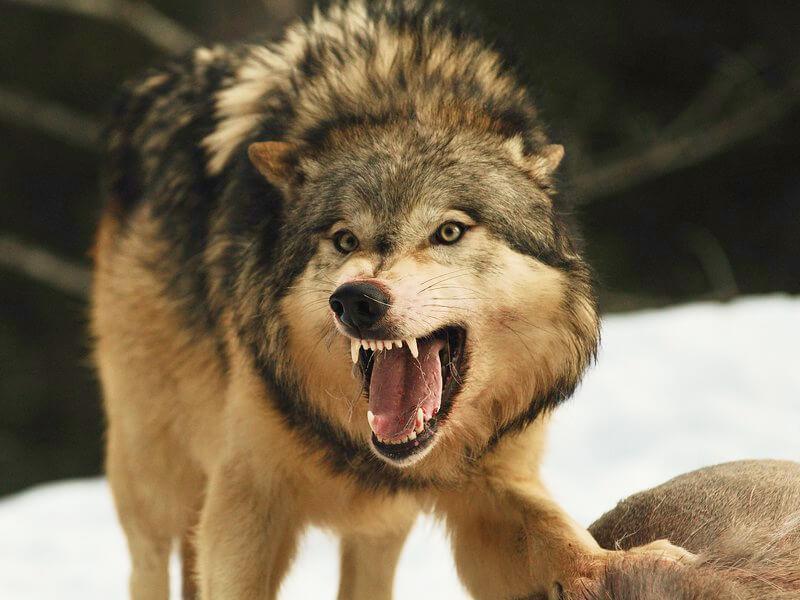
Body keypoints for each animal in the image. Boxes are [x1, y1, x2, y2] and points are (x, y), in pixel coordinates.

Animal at [92, 1, 688, 599]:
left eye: (448, 232)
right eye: (344, 240)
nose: (356, 299)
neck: (402, 97)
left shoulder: (494, 481)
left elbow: (557, 530)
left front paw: (626, 566)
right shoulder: (247, 498)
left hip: (379, 531)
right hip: (154, 478)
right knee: (149, 561)